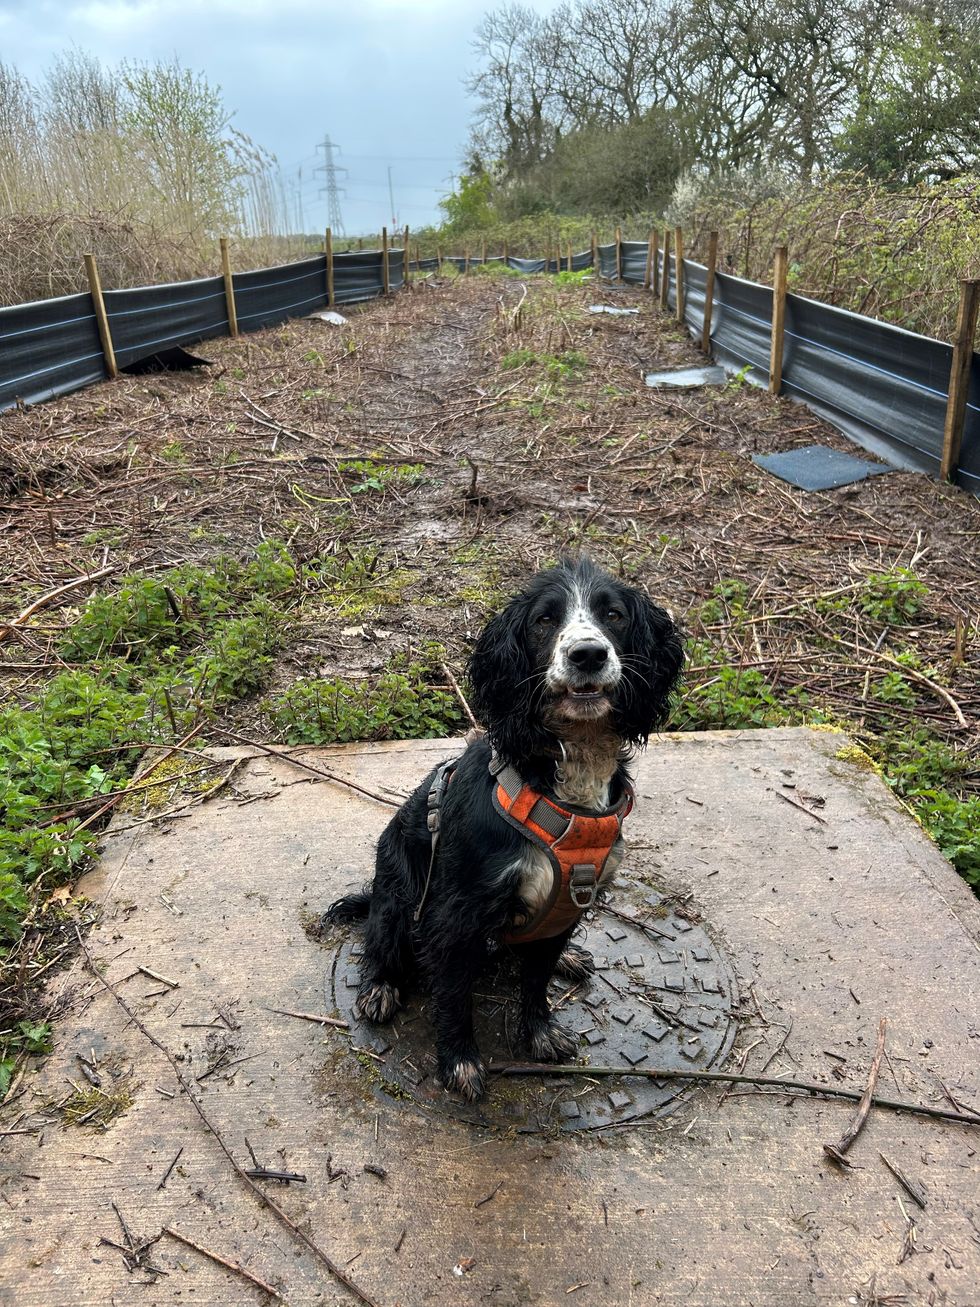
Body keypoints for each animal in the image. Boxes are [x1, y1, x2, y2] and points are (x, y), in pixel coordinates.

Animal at [326, 556, 684, 1097]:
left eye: (614, 615)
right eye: (544, 620)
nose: (587, 654)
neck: (563, 782)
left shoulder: (565, 906)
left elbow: (535, 982)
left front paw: (538, 1032)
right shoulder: (454, 915)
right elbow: (454, 999)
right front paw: (459, 1061)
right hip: (398, 896)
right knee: (380, 941)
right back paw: (380, 988)